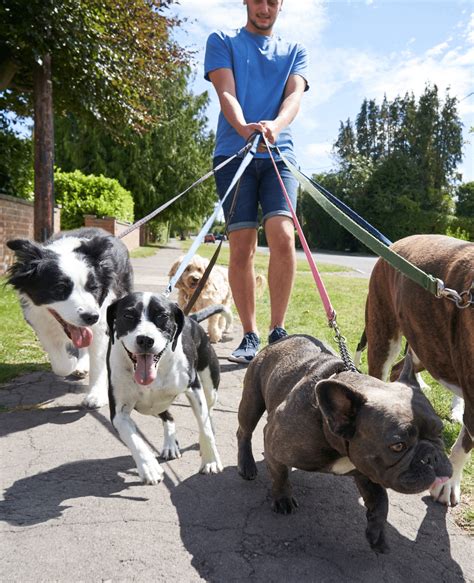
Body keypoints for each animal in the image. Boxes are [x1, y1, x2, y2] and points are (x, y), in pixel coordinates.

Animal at [7, 227, 133, 409]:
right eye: (59, 288)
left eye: (93, 287)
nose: (91, 317)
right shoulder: (40, 322)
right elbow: (59, 364)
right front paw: (72, 362)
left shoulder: (101, 323)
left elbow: (99, 361)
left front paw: (95, 395)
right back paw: (80, 365)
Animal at [106, 292, 223, 484]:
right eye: (128, 315)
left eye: (162, 316)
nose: (145, 339)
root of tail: (191, 318)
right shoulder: (119, 413)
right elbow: (134, 439)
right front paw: (149, 467)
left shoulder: (194, 389)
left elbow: (204, 426)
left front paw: (211, 461)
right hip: (151, 407)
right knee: (169, 417)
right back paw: (170, 446)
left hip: (209, 387)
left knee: (209, 413)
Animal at [237, 335, 452, 553]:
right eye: (398, 446)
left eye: (440, 431)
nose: (432, 456)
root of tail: (281, 340)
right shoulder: (273, 441)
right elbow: (279, 474)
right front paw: (282, 498)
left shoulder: (368, 470)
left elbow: (381, 500)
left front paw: (377, 534)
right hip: (252, 401)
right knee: (244, 432)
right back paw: (247, 465)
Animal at [355, 234, 473, 507]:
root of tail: (397, 242)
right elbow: (463, 445)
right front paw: (448, 484)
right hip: (384, 333)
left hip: (426, 348)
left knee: (401, 369)